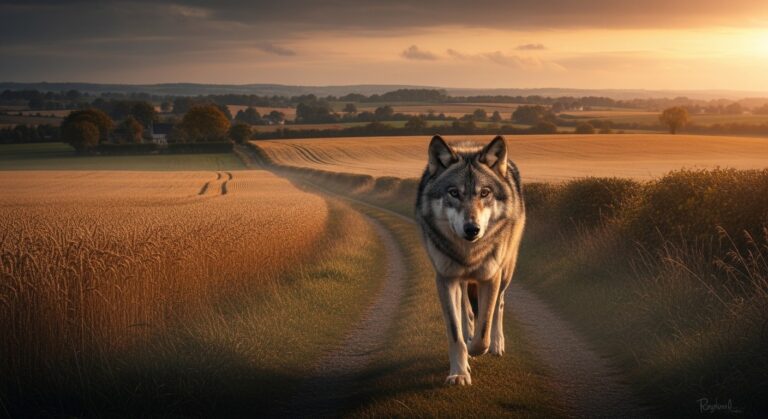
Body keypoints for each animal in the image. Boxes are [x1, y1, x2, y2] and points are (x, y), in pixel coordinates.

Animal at [415, 135, 525, 386]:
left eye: (484, 193)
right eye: (454, 193)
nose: (472, 229)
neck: (469, 253)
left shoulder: (490, 278)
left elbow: (483, 331)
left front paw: (478, 350)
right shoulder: (446, 279)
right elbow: (455, 332)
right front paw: (459, 372)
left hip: (505, 273)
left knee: (499, 306)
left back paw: (497, 344)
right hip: (463, 282)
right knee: (467, 311)